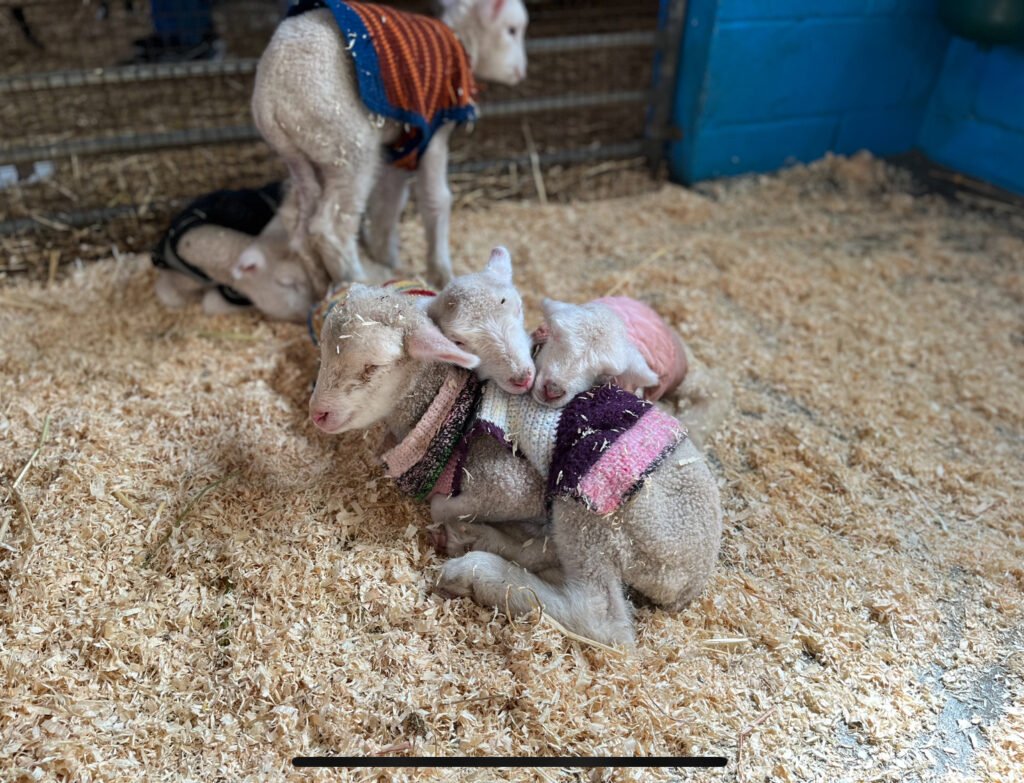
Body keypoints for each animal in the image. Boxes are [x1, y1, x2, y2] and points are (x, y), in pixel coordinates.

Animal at [251, 0, 528, 292]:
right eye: (511, 30)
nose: (521, 72)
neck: (460, 37)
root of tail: (271, 97)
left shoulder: (399, 147)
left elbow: (390, 202)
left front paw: (386, 256)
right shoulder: (433, 134)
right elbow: (437, 200)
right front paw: (441, 272)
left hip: (301, 155)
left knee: (298, 219)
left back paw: (320, 282)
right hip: (347, 147)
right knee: (331, 228)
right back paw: (357, 280)